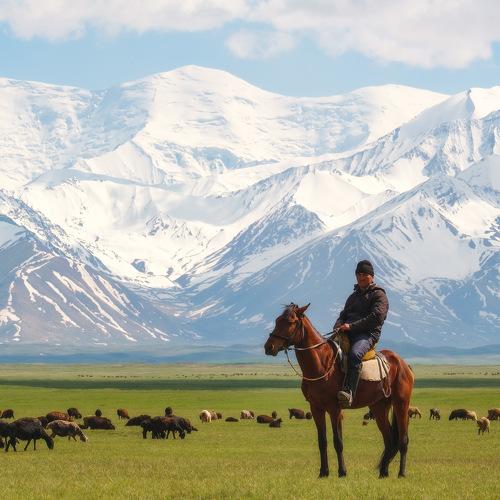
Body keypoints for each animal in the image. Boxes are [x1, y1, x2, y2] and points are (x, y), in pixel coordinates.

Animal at [264, 303, 414, 478]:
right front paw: (323, 472)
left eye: (290, 322)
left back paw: (401, 473)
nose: (269, 347)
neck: (321, 364)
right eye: (277, 320)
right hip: (379, 407)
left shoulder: (334, 408)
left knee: (403, 440)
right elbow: (322, 442)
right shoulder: (316, 408)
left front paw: (342, 472)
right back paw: (383, 473)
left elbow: (338, 442)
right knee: (389, 440)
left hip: (401, 404)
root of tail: (404, 364)